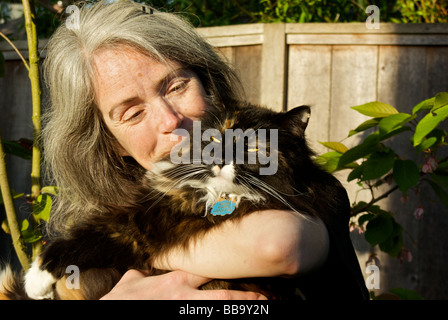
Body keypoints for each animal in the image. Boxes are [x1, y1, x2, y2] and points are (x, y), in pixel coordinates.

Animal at [0, 100, 352, 300]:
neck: (210, 196)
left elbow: (81, 242)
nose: (221, 157)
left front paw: (35, 282)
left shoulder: (144, 228)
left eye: (252, 147)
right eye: (214, 138)